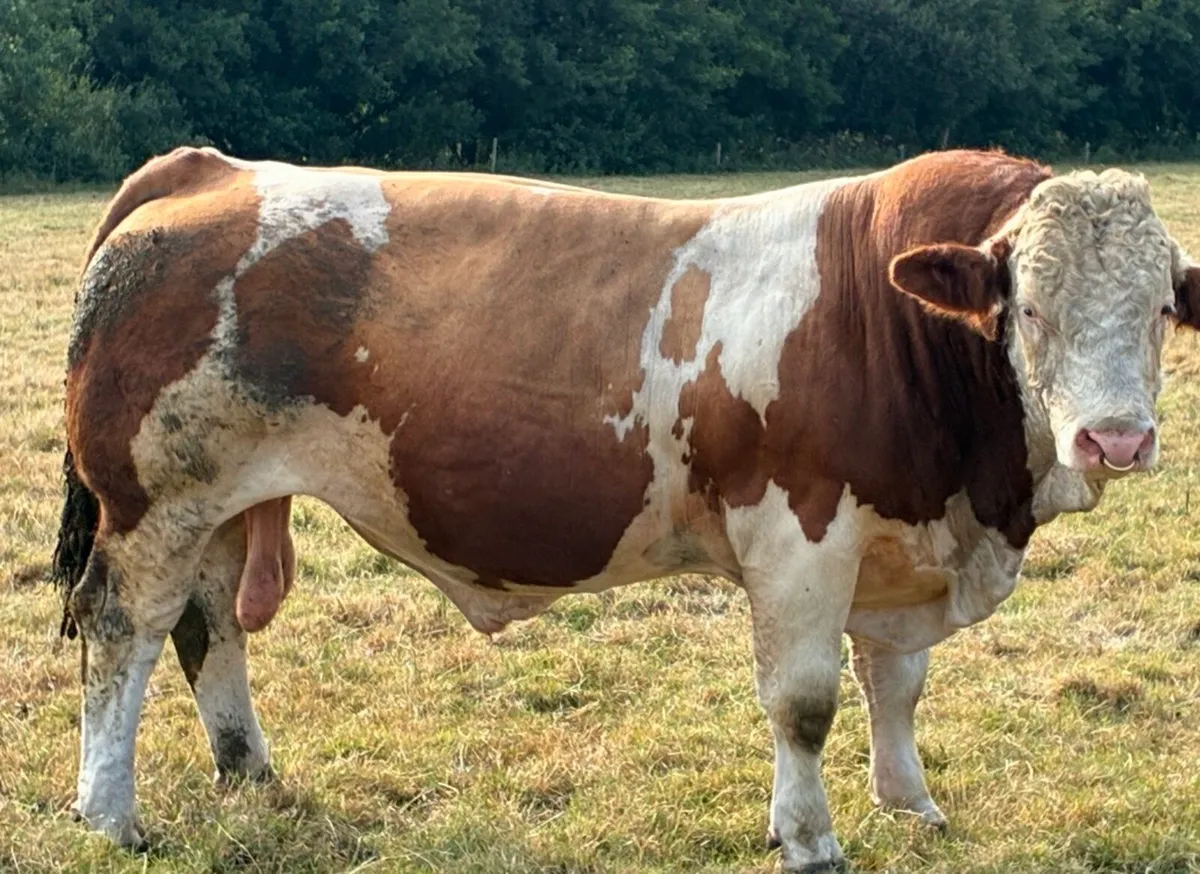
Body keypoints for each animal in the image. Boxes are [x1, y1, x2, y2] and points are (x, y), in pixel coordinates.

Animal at [51, 146, 1200, 871]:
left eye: (1159, 309)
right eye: (1030, 309)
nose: (1115, 439)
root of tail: (215, 171)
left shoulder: (895, 537)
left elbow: (897, 683)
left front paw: (910, 803)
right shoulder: (800, 538)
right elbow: (806, 702)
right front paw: (810, 837)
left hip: (221, 504)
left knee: (208, 630)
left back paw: (249, 773)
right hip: (152, 501)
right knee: (122, 631)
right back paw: (109, 814)